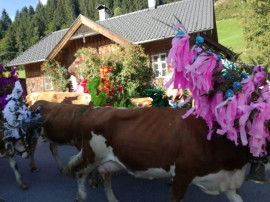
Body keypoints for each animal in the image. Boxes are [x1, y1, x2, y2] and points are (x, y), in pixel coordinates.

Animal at [62, 106, 258, 201]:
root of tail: (96, 109)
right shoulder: (182, 175)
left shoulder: (230, 181)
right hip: (92, 155)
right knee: (79, 172)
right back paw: (81, 196)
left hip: (108, 160)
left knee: (105, 176)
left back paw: (112, 199)